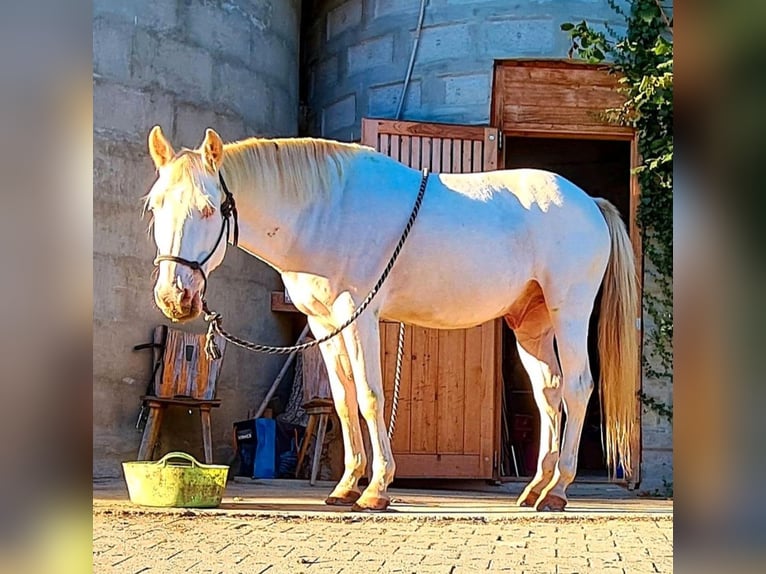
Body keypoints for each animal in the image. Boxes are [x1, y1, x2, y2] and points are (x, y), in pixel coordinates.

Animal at [146, 126, 640, 512]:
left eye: (209, 208)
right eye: (155, 207)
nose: (175, 297)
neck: (327, 211)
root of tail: (589, 203)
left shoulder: (358, 315)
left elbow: (370, 396)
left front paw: (377, 489)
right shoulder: (325, 325)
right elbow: (343, 401)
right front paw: (347, 486)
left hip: (568, 312)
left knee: (577, 388)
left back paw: (558, 491)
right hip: (531, 323)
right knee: (548, 393)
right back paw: (535, 489)